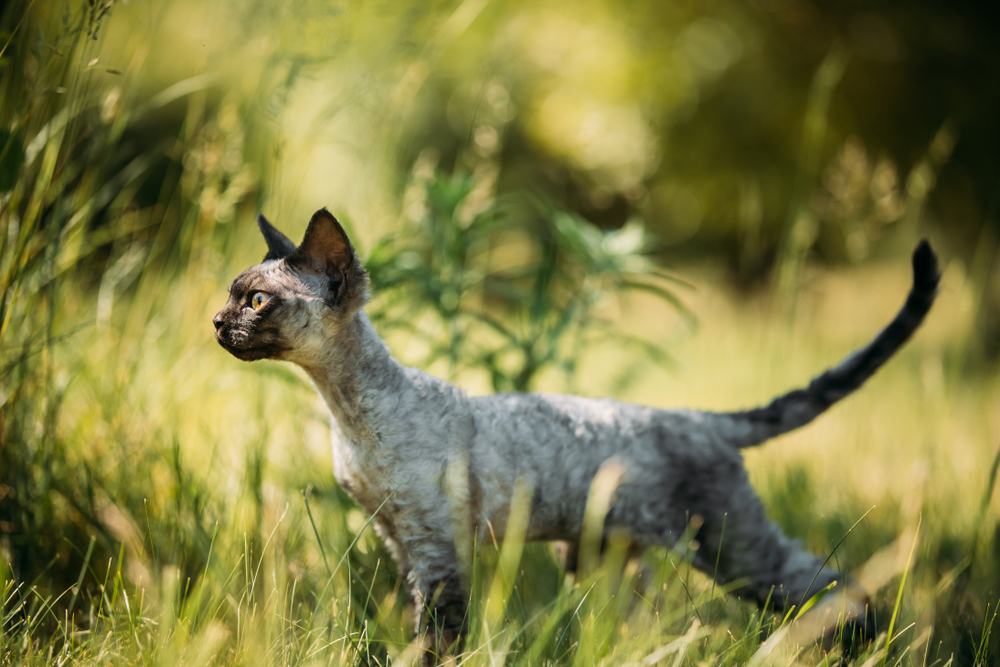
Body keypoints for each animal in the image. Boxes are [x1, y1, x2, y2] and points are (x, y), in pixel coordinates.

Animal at [215, 210, 940, 664]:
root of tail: (701, 416)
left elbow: (439, 638)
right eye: (231, 296)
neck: (346, 414)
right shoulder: (399, 539)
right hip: (602, 561)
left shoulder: (436, 547)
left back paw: (865, 650)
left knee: (832, 584)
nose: (216, 322)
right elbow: (422, 629)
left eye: (257, 301)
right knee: (623, 630)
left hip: (730, 543)